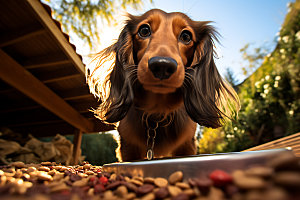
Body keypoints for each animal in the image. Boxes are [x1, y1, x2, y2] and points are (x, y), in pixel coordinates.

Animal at [86, 9, 239, 162]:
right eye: (144, 30)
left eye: (186, 36)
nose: (162, 66)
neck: (157, 111)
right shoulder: (128, 149)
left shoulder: (186, 146)